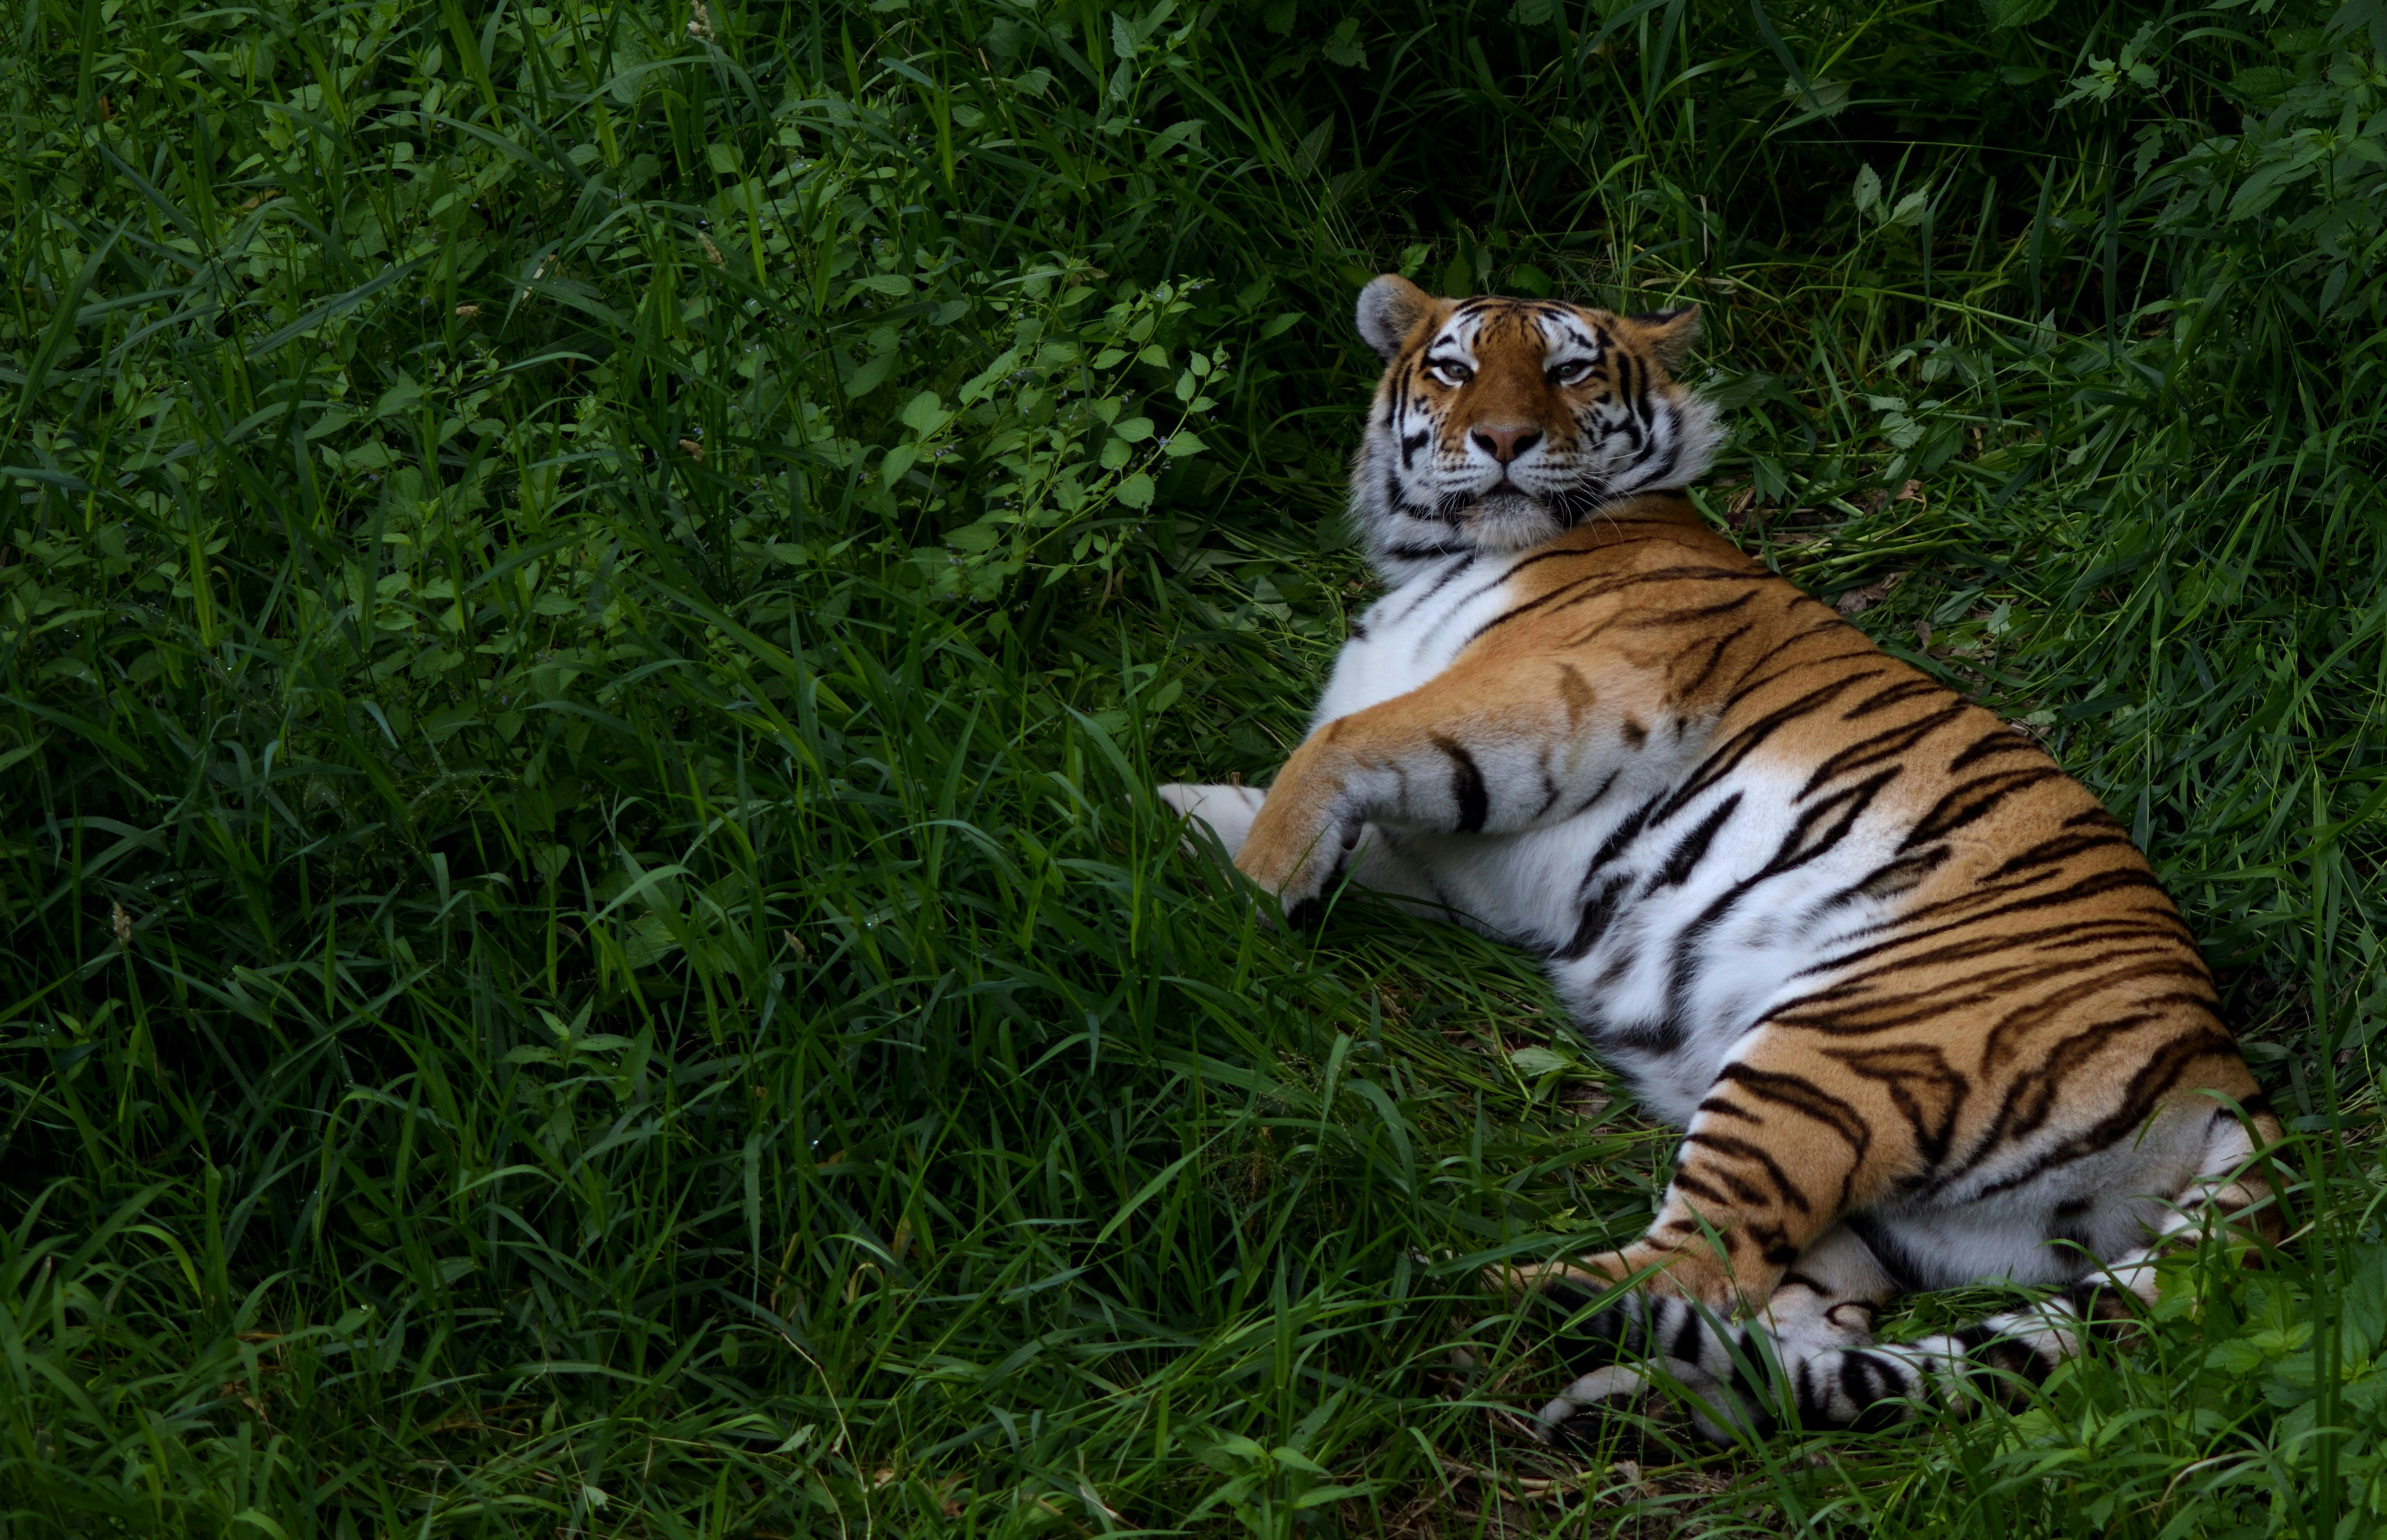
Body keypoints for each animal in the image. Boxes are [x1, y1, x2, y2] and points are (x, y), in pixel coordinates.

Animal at [1159, 274, 2283, 1440]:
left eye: (1568, 370)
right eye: (1455, 369)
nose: (1505, 440)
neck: (1438, 556)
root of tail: (2222, 1072)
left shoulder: (1564, 694)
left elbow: (1335, 745)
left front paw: (1249, 903)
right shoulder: (1449, 860)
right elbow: (1283, 796)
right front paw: (1176, 827)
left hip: (1834, 1047)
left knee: (1698, 1266)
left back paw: (1482, 1290)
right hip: (1900, 1226)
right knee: (1790, 1321)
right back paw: (1618, 1401)